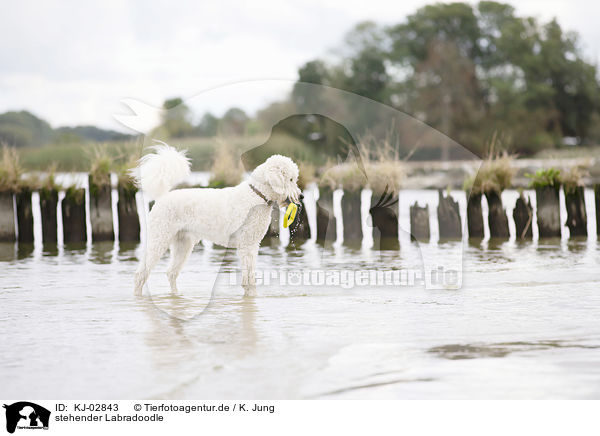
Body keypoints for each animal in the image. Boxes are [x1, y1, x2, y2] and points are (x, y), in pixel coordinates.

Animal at [131, 145, 300, 298]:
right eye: (290, 179)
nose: (302, 196)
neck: (256, 195)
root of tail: (162, 197)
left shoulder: (252, 245)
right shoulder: (247, 245)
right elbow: (249, 278)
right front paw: (252, 295)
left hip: (183, 244)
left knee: (171, 273)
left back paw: (176, 295)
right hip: (159, 238)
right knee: (141, 274)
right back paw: (138, 296)